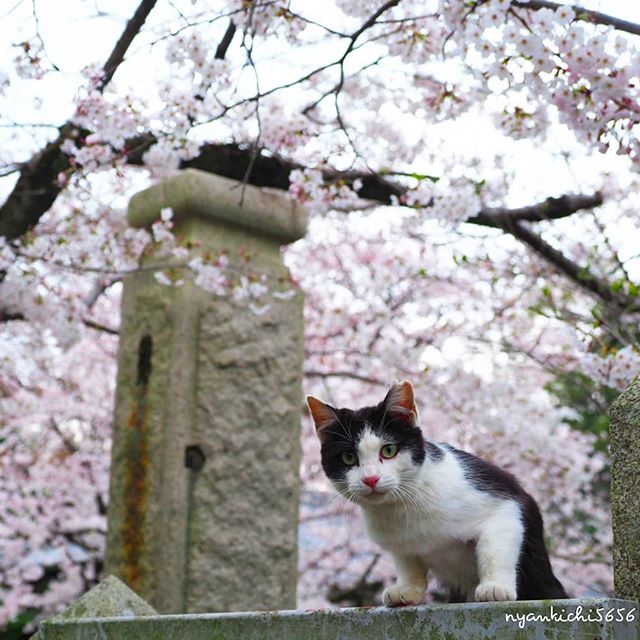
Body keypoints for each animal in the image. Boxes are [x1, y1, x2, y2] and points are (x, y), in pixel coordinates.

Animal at [308, 380, 568, 604]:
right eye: (349, 457)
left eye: (389, 450)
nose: (370, 478)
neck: (401, 507)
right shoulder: (399, 543)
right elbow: (407, 562)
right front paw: (407, 590)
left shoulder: (504, 500)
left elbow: (494, 547)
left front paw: (495, 587)